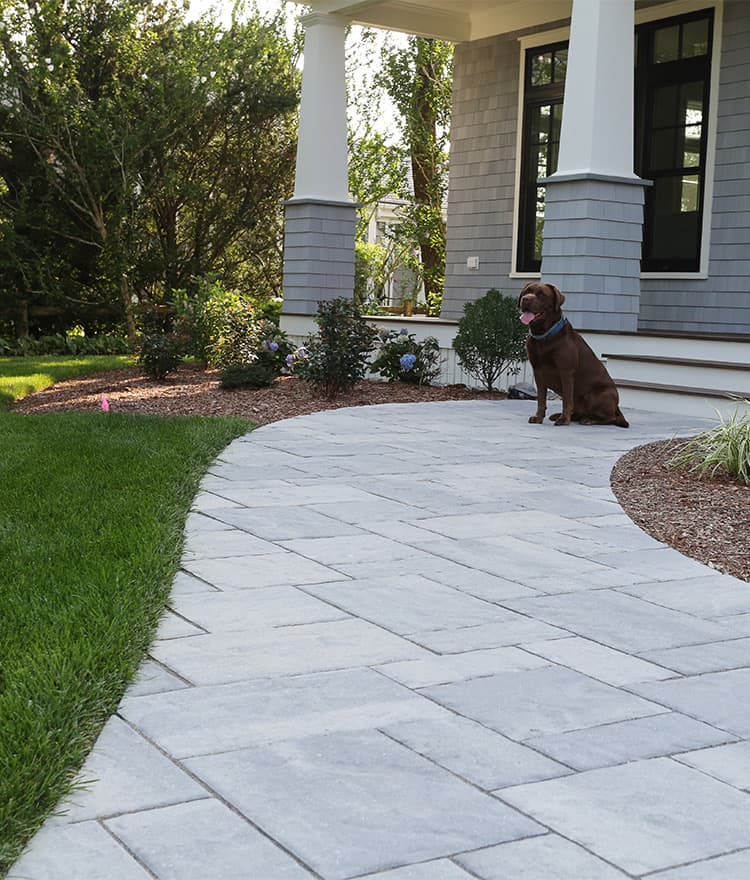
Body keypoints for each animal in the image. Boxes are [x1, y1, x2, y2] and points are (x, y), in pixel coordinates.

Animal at [516, 282, 628, 426]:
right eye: (526, 292)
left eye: (541, 295)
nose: (526, 299)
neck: (544, 335)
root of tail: (617, 406)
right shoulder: (538, 372)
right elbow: (541, 399)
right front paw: (538, 417)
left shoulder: (566, 372)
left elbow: (567, 400)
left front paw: (564, 420)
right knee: (580, 412)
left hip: (594, 395)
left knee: (611, 418)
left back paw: (589, 420)